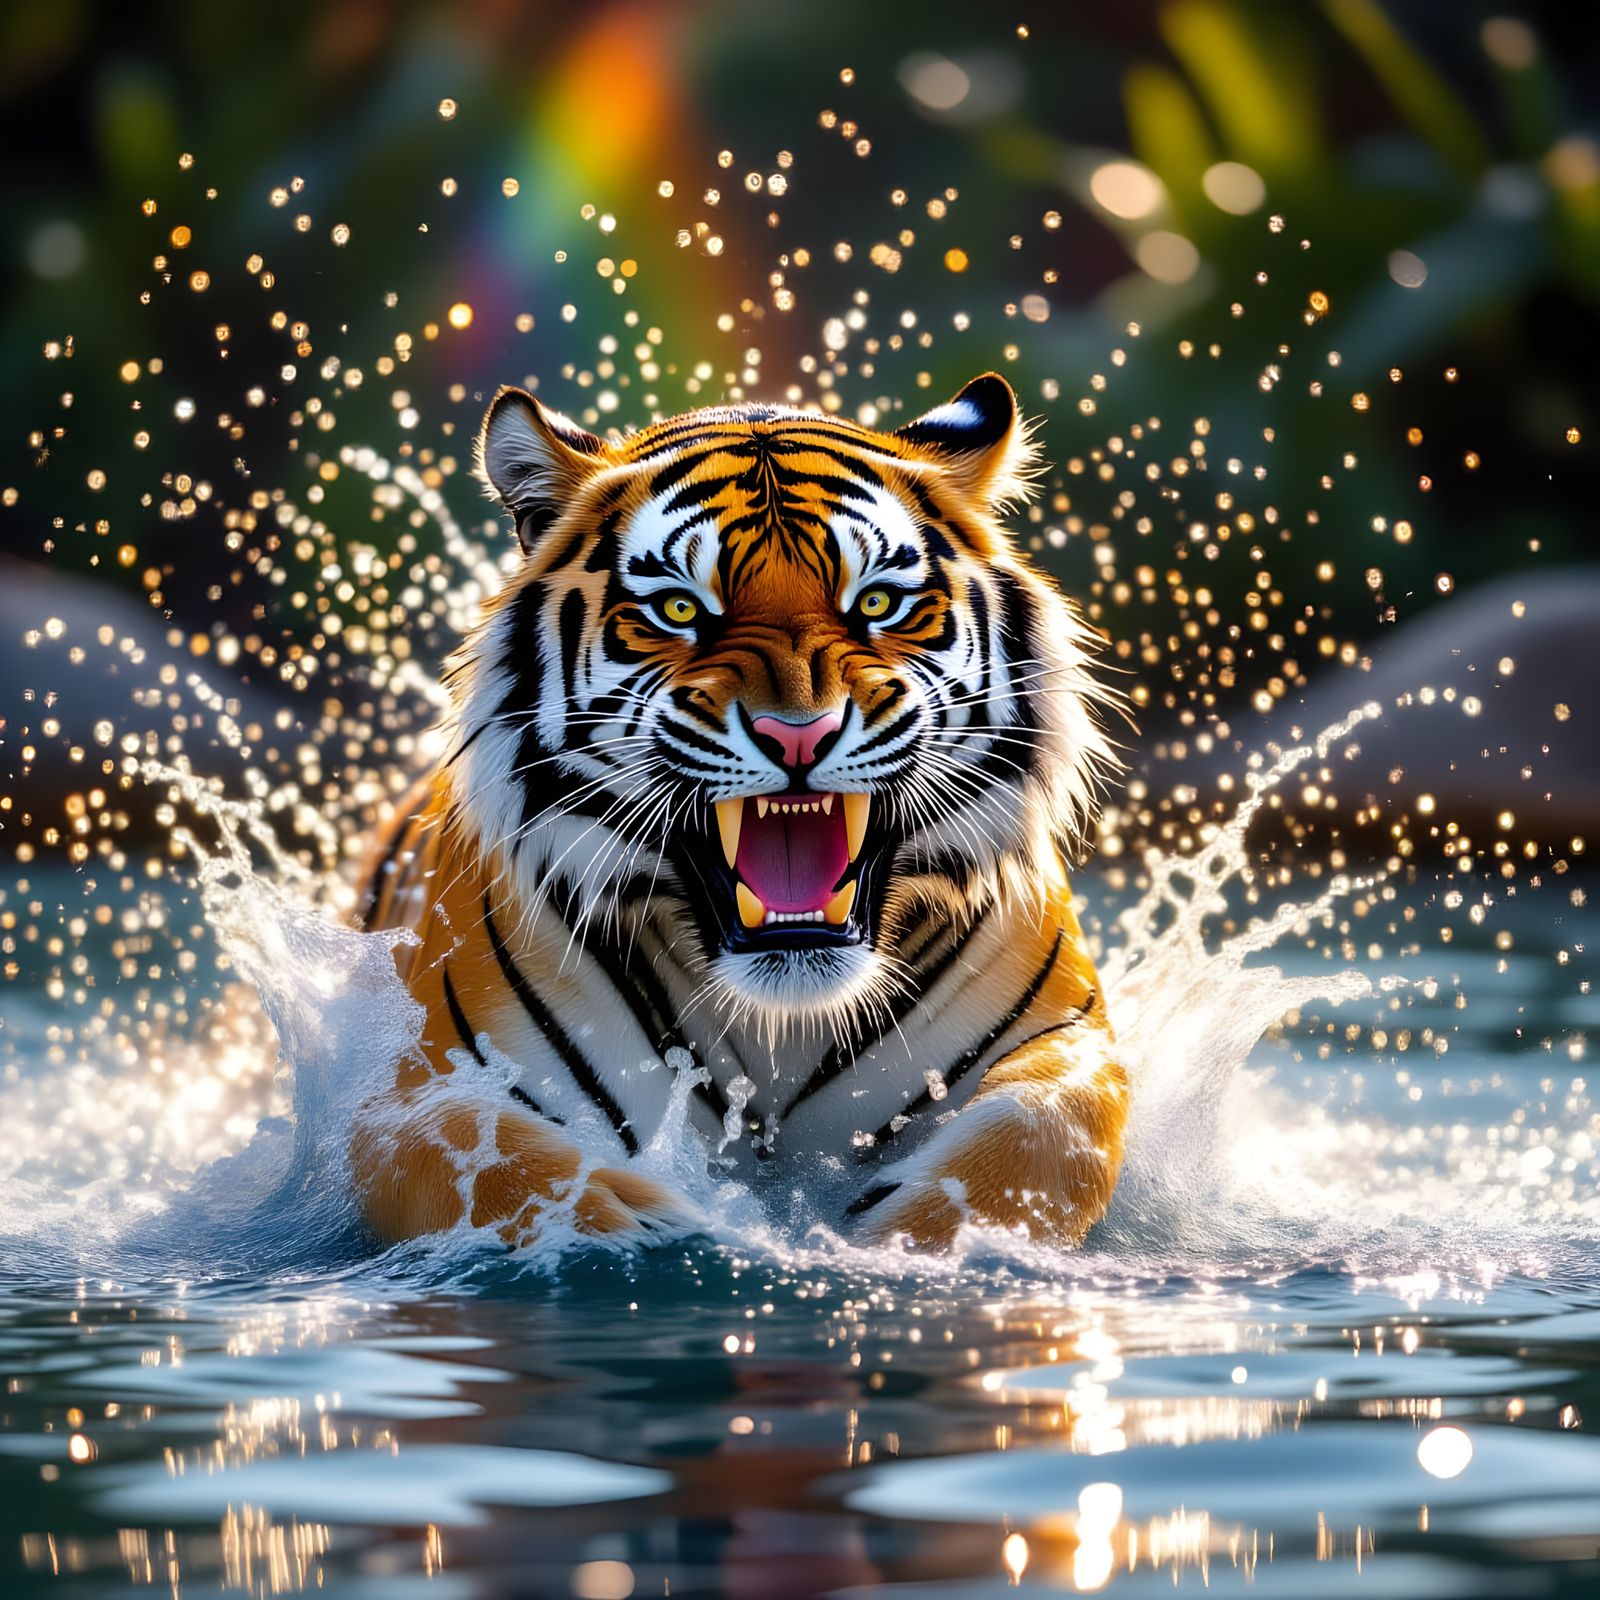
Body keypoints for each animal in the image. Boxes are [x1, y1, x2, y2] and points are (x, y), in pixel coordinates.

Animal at [351, 372, 1128, 1251]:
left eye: (879, 603)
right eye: (681, 611)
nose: (800, 733)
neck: (779, 1024)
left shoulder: (1069, 1039)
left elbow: (1048, 1134)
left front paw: (911, 1238)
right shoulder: (425, 1085)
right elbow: (491, 1166)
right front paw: (649, 1230)